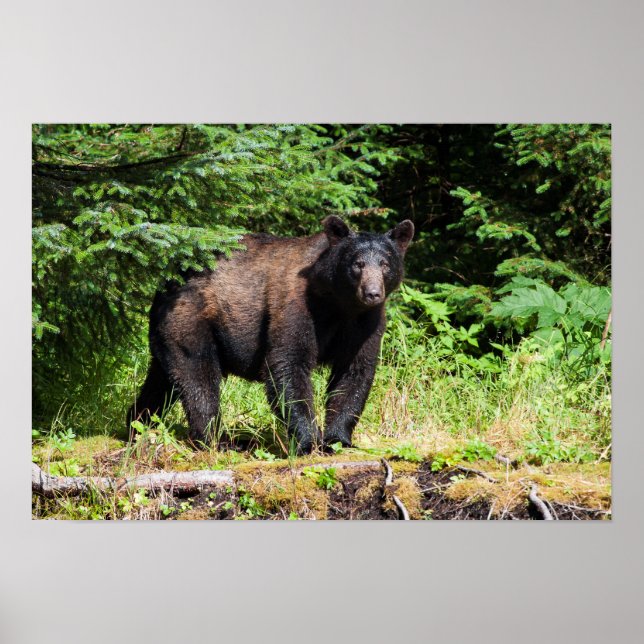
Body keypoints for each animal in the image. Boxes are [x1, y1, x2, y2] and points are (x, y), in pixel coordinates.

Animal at [127, 215, 414, 455]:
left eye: (385, 264)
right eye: (358, 264)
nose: (372, 293)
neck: (338, 304)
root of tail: (166, 282)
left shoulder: (365, 323)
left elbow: (354, 372)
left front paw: (338, 439)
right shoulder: (297, 306)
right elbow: (288, 364)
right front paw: (308, 442)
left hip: (169, 333)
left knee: (162, 380)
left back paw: (137, 423)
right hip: (191, 320)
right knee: (198, 377)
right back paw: (219, 440)